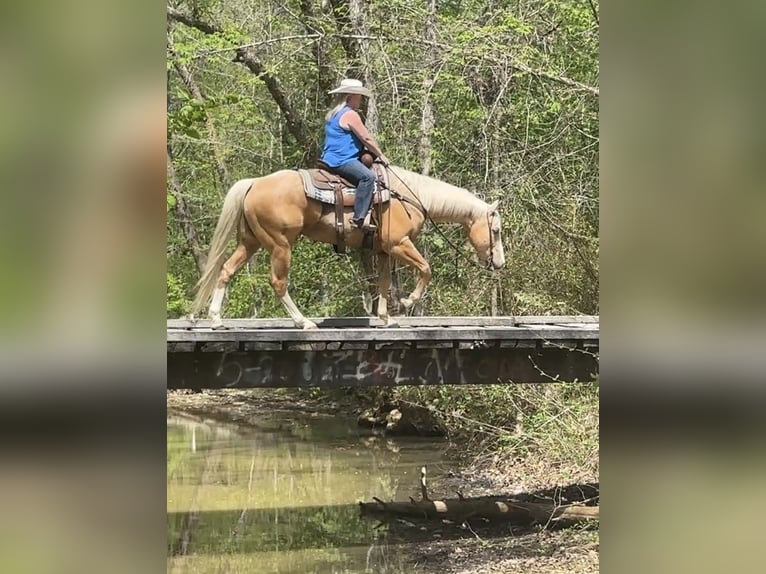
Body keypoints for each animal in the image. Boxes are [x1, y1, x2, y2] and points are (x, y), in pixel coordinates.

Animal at [190, 165, 506, 329]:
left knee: (226, 269)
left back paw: (215, 319)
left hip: (251, 242)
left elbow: (382, 282)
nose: (500, 264)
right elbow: (426, 269)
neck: (411, 196)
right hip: (280, 244)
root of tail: (254, 183)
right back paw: (303, 322)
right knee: (278, 282)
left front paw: (385, 317)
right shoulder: (399, 244)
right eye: (496, 230)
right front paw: (405, 303)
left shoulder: (384, 251)